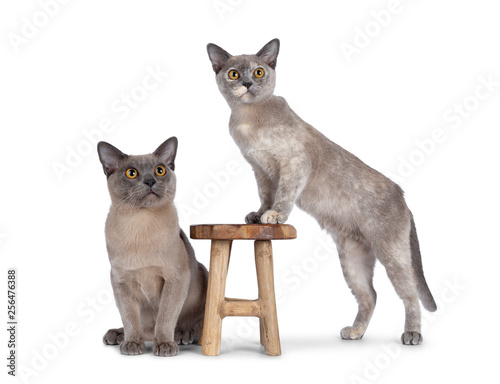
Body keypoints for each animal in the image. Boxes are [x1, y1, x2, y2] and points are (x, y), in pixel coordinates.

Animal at [97, 136, 207, 356]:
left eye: (160, 170)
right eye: (131, 173)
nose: (150, 181)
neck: (141, 223)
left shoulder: (175, 278)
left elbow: (166, 316)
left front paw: (164, 344)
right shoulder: (120, 281)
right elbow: (130, 318)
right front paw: (132, 344)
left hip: (203, 273)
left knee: (195, 325)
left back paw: (181, 334)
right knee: (144, 328)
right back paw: (118, 335)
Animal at [207, 39, 438, 344]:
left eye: (258, 72)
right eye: (234, 74)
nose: (247, 84)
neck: (247, 119)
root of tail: (404, 198)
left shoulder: (292, 164)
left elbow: (283, 196)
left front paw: (274, 216)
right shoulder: (261, 170)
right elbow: (265, 196)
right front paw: (258, 215)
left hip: (392, 253)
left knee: (410, 295)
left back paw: (411, 334)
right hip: (352, 258)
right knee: (371, 296)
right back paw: (355, 332)